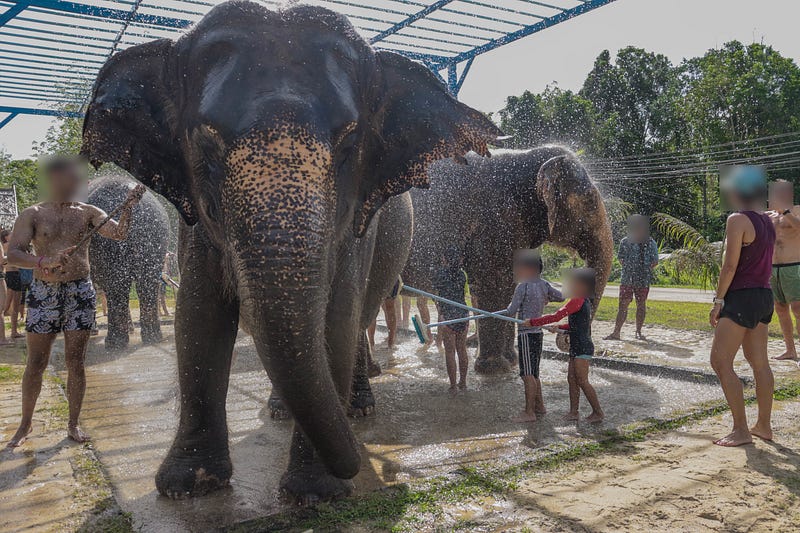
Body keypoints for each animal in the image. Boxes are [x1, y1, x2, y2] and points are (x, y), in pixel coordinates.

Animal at [87, 175, 169, 350]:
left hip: (108, 243)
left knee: (117, 285)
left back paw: (114, 343)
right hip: (156, 235)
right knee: (147, 283)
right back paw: (153, 338)